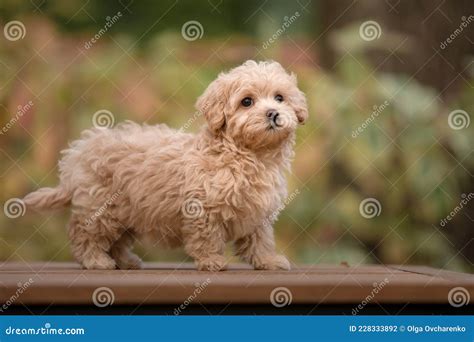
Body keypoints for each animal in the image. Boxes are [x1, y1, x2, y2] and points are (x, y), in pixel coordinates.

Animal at [24, 60, 308, 272]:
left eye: (279, 98)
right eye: (246, 101)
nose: (273, 113)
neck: (247, 155)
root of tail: (79, 151)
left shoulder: (258, 211)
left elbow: (260, 238)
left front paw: (268, 261)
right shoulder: (202, 209)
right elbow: (206, 237)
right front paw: (211, 261)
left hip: (127, 211)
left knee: (117, 241)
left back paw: (126, 261)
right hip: (101, 207)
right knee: (84, 233)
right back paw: (96, 261)